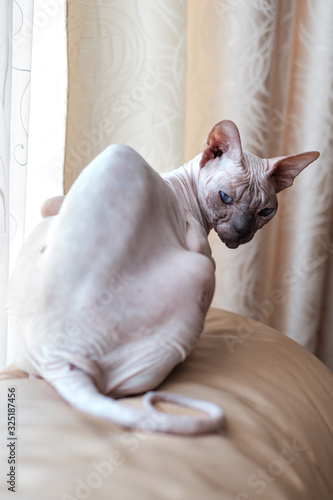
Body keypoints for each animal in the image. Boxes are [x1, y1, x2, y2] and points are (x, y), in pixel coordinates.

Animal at [5, 120, 320, 434]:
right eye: (225, 198)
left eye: (265, 212)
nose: (243, 231)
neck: (178, 183)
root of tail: (57, 359)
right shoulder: (200, 247)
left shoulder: (51, 205)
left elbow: (49, 204)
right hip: (200, 271)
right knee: (128, 387)